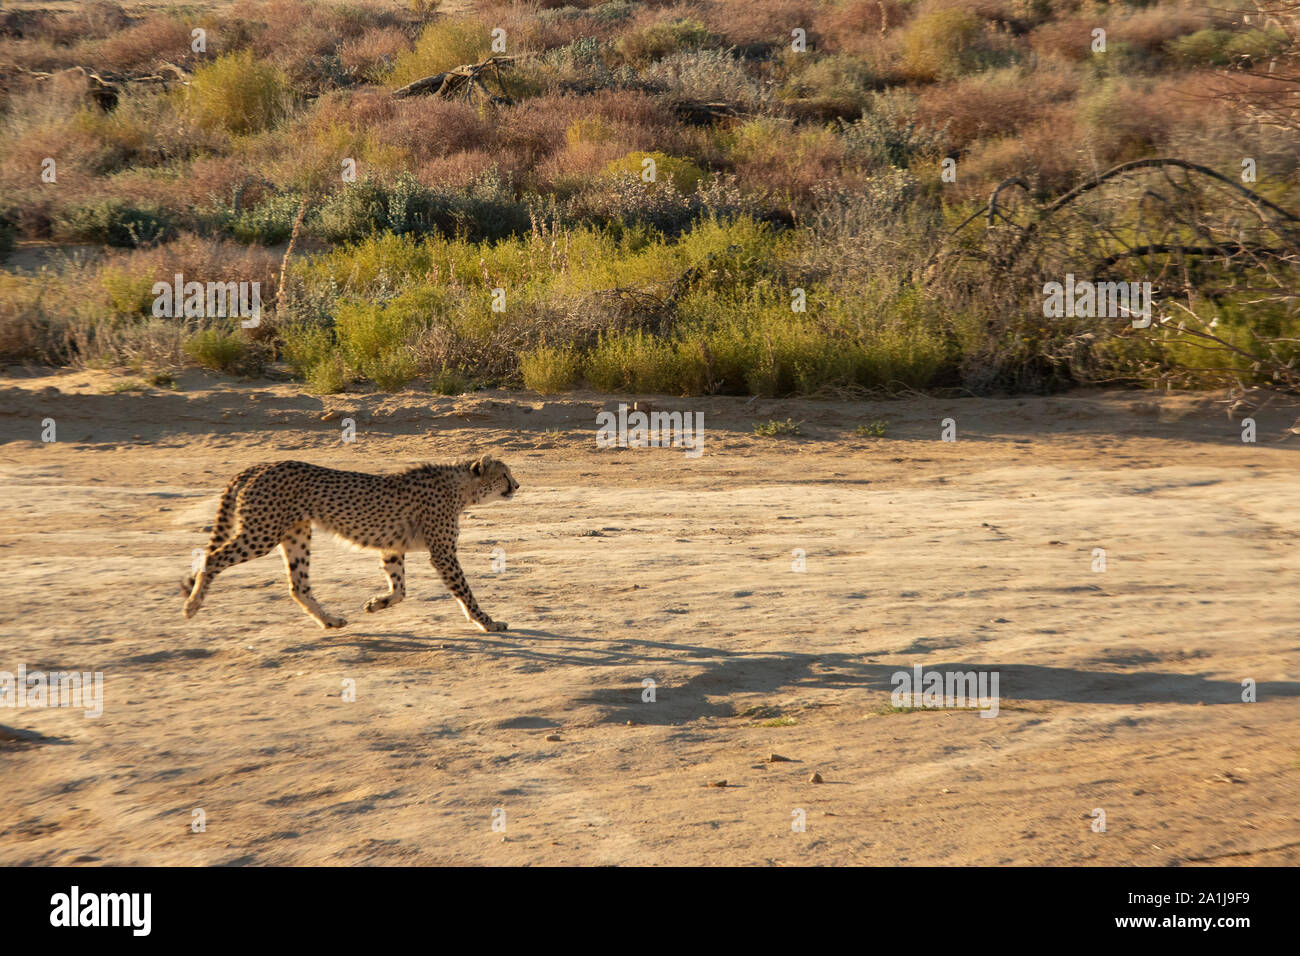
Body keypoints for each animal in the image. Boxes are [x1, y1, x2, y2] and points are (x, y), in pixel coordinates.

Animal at [179, 457, 522, 632]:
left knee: (298, 586)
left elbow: (400, 589)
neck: (462, 488)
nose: (517, 485)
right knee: (211, 558)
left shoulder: (392, 547)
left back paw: (329, 620)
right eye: (504, 474)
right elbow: (464, 591)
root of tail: (258, 466)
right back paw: (192, 605)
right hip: (261, 533)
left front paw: (376, 604)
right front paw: (487, 622)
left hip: (296, 534)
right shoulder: (443, 553)